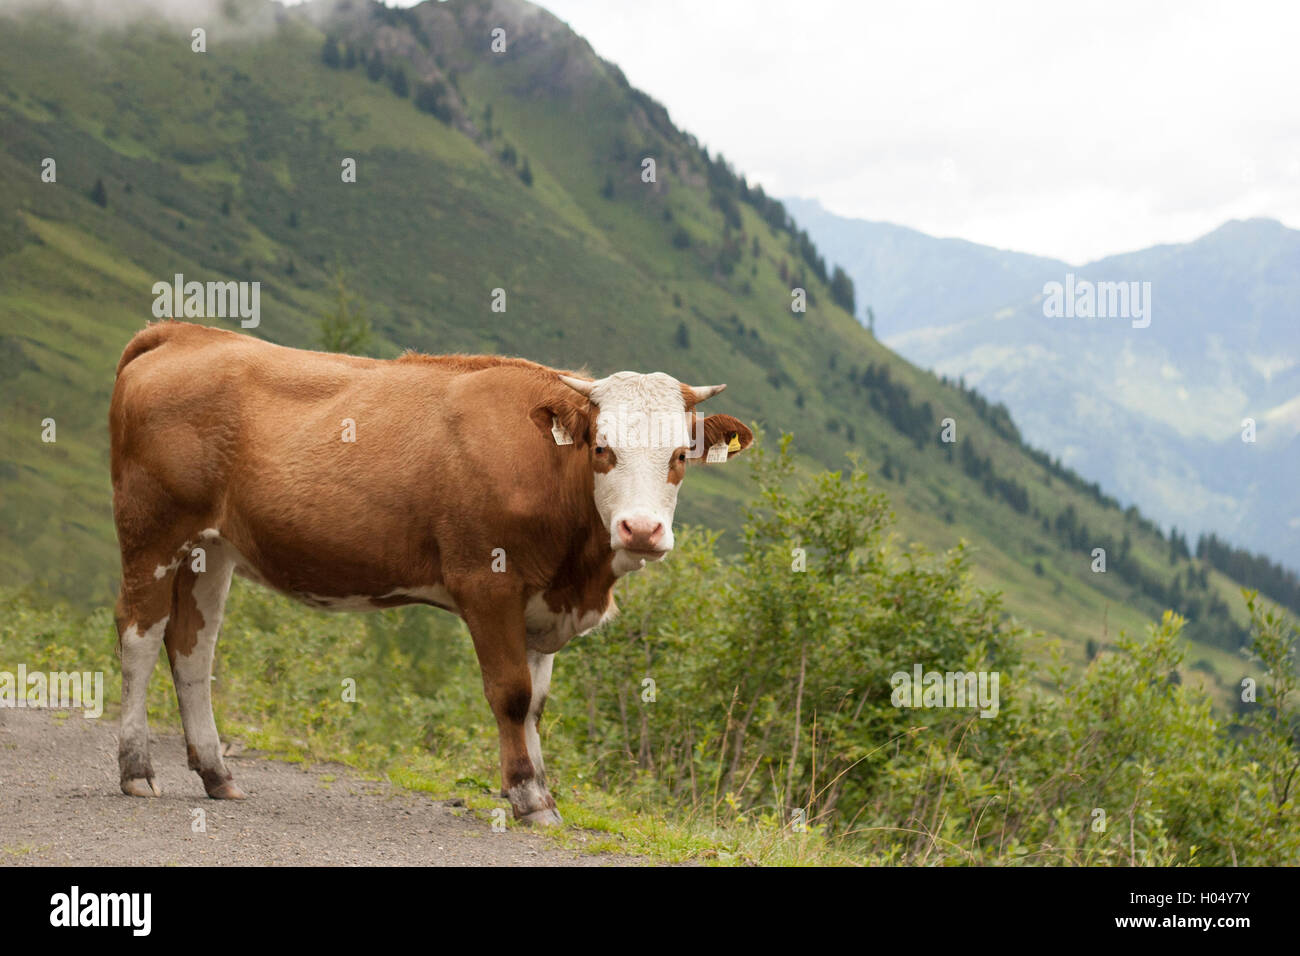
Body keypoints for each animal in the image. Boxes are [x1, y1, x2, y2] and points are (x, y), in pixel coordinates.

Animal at [109, 321, 753, 824]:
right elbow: (512, 694)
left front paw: (539, 787)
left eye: (680, 455)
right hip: (152, 531)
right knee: (139, 634)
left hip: (210, 549)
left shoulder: (542, 601)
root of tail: (186, 333)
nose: (641, 530)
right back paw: (137, 770)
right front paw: (528, 798)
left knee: (192, 648)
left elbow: (538, 702)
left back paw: (217, 775)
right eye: (601, 448)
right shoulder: (487, 583)